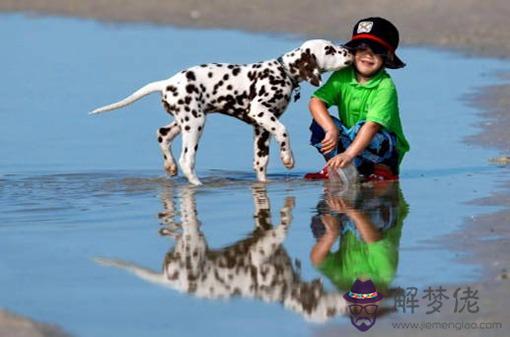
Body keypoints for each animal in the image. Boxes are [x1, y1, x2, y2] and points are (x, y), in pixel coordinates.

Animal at [91, 41, 352, 186]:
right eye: (329, 49)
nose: (348, 51)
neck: (283, 72)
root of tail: (168, 82)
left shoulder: (260, 127)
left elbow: (261, 161)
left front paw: (264, 184)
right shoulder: (260, 112)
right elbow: (284, 132)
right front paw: (288, 158)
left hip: (182, 121)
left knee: (162, 134)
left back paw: (170, 167)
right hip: (195, 123)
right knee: (188, 159)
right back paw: (197, 184)